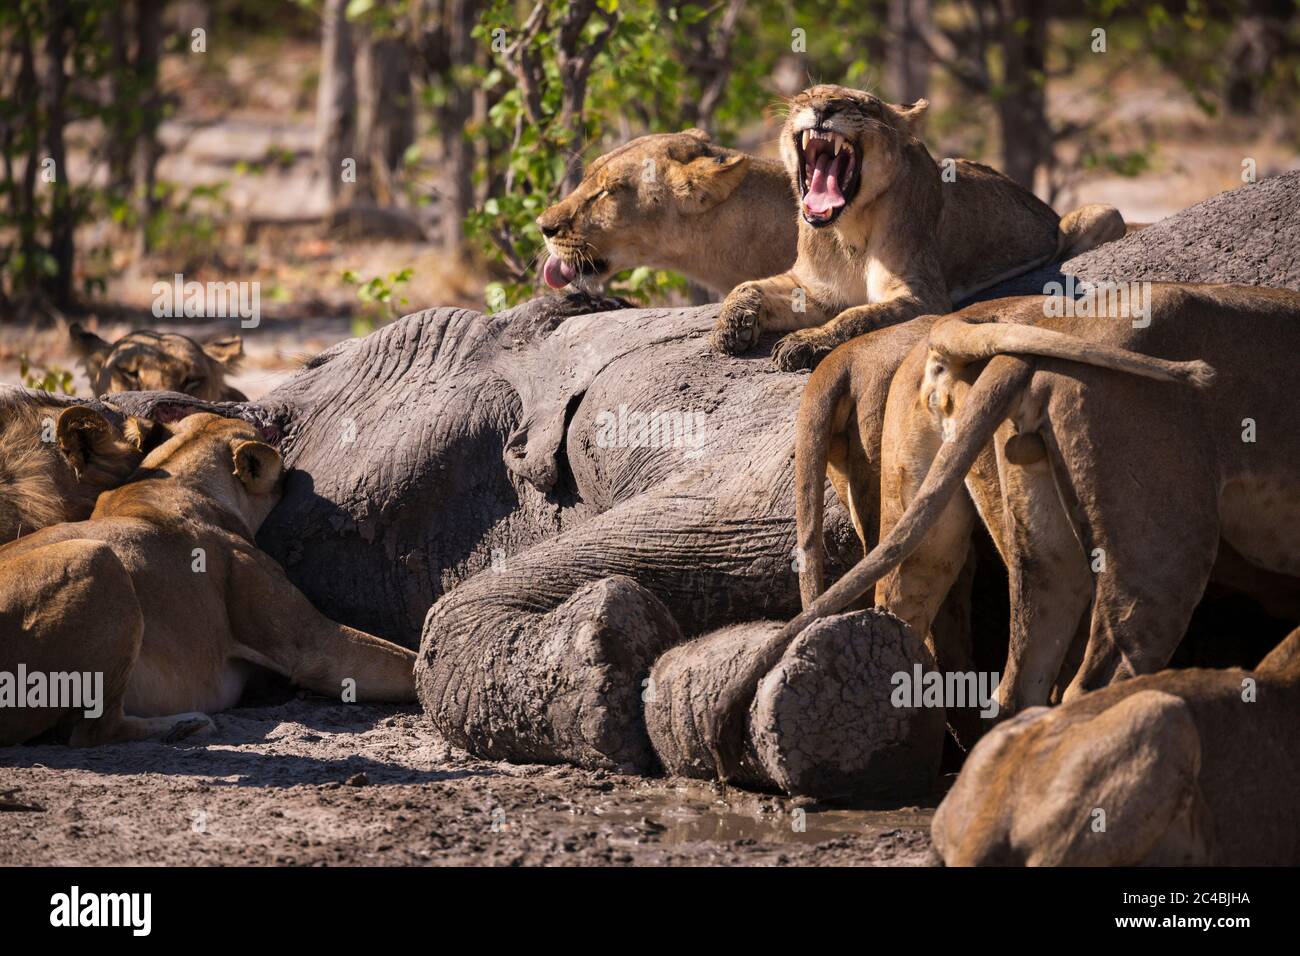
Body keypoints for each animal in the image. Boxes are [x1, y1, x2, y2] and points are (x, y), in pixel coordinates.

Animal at [0, 409, 415, 746]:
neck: (170, 480)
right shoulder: (312, 644)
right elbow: (405, 663)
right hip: (97, 560)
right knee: (93, 732)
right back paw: (187, 725)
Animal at [711, 84, 1125, 371]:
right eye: (804, 97)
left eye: (861, 105)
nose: (824, 108)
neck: (847, 232)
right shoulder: (814, 289)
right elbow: (746, 286)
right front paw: (730, 328)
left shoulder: (924, 296)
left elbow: (857, 316)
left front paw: (803, 342)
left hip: (1102, 215)